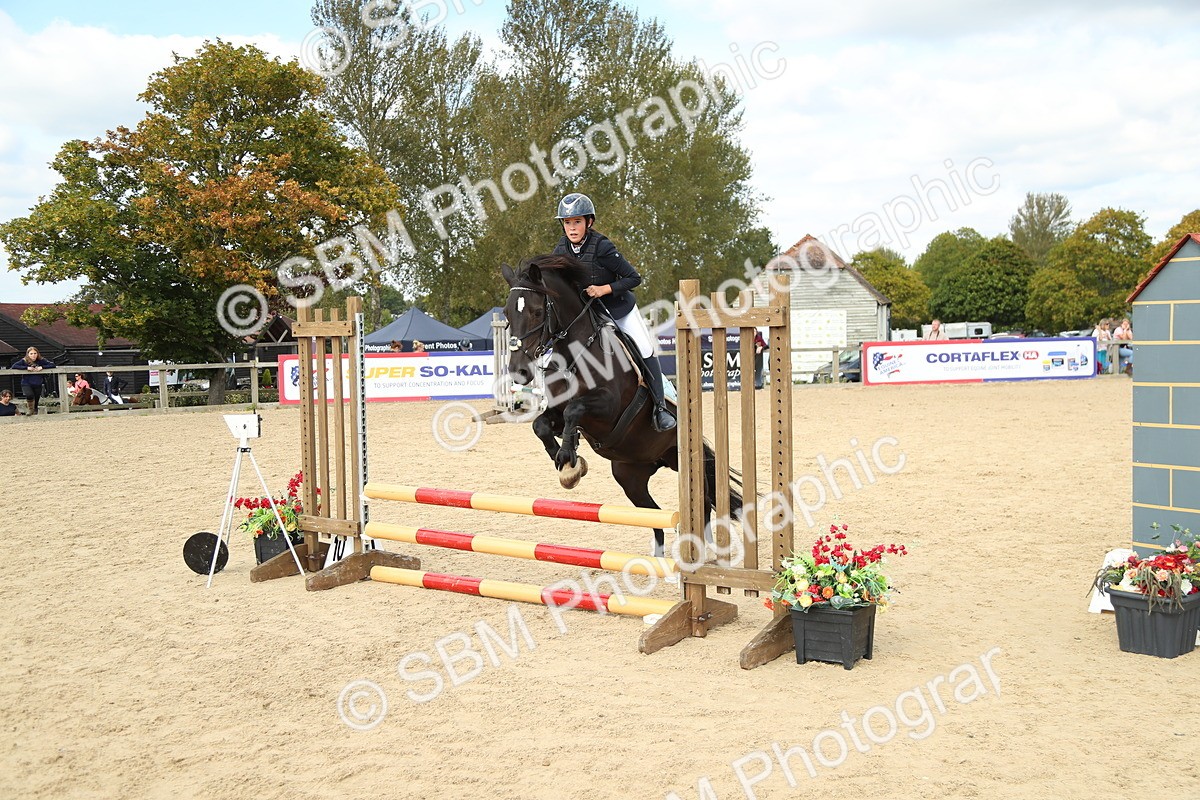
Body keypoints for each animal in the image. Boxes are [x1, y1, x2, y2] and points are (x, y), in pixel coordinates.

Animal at [502, 254, 742, 556]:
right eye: (506, 314)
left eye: (535, 312)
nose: (519, 371)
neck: (575, 352)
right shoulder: (556, 411)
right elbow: (541, 424)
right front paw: (566, 463)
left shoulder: (607, 407)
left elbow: (574, 410)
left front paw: (568, 458)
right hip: (630, 476)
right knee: (653, 515)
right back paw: (658, 557)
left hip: (682, 461)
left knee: (704, 498)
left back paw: (706, 548)